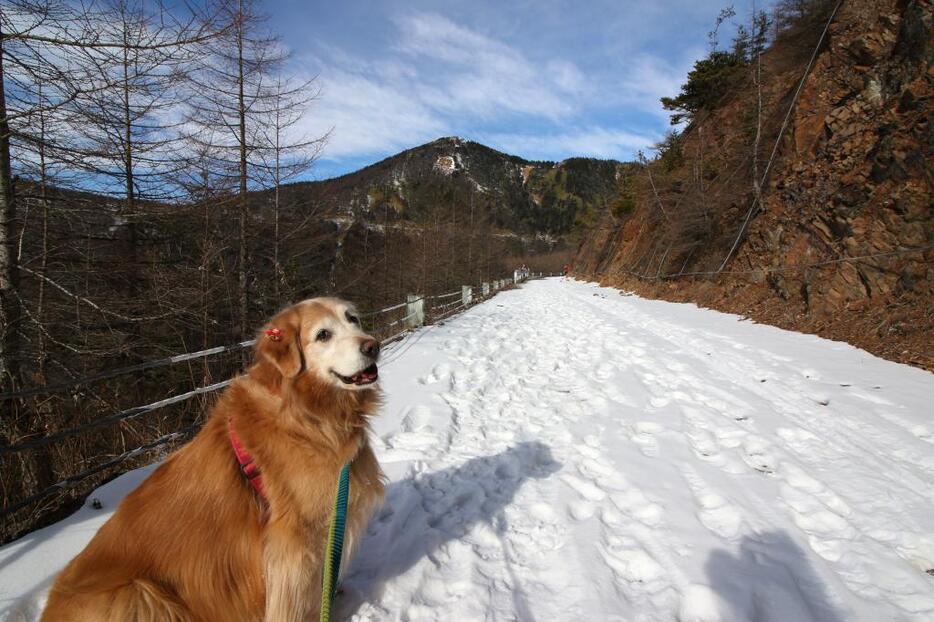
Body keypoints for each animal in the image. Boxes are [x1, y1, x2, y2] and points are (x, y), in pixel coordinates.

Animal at [42, 300, 386, 620]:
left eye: (352, 319)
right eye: (323, 335)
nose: (373, 345)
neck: (305, 411)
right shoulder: (296, 541)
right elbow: (300, 598)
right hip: (140, 594)